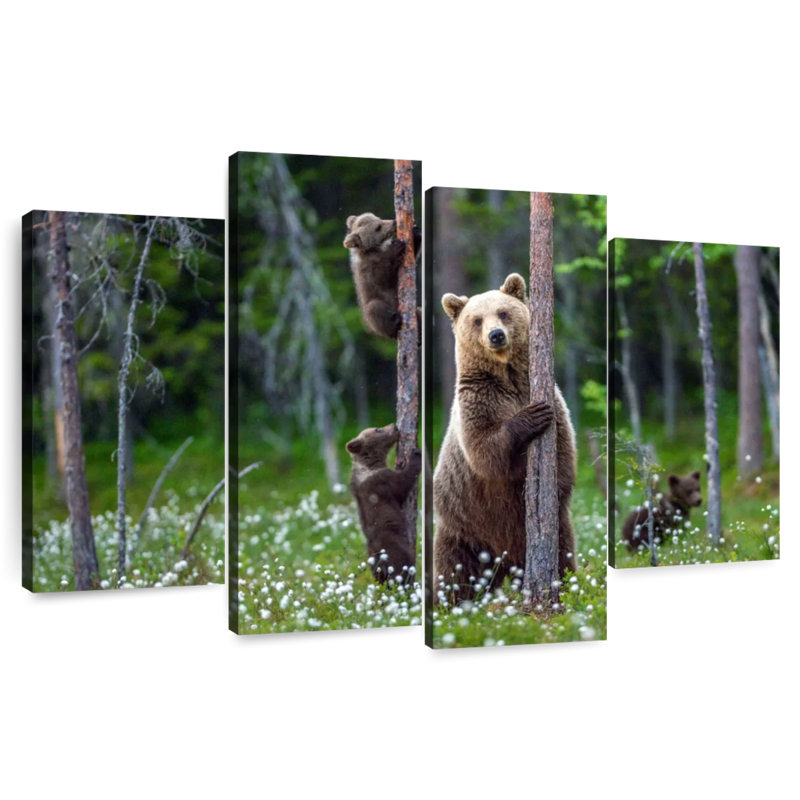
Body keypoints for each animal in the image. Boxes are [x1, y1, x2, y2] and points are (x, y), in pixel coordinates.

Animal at [345, 423, 422, 584]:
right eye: (377, 429)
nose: (394, 426)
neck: (370, 464)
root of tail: (379, 557)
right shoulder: (381, 482)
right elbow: (402, 484)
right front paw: (416, 454)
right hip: (394, 548)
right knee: (403, 566)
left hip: (373, 564)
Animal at [432, 273, 578, 604]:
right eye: (476, 319)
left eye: (503, 312)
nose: (496, 335)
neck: (507, 377)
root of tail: (505, 561)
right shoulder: (478, 402)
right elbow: (485, 452)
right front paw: (530, 417)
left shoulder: (552, 400)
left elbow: (563, 455)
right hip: (464, 526)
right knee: (455, 570)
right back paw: (451, 603)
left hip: (553, 530)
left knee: (563, 553)